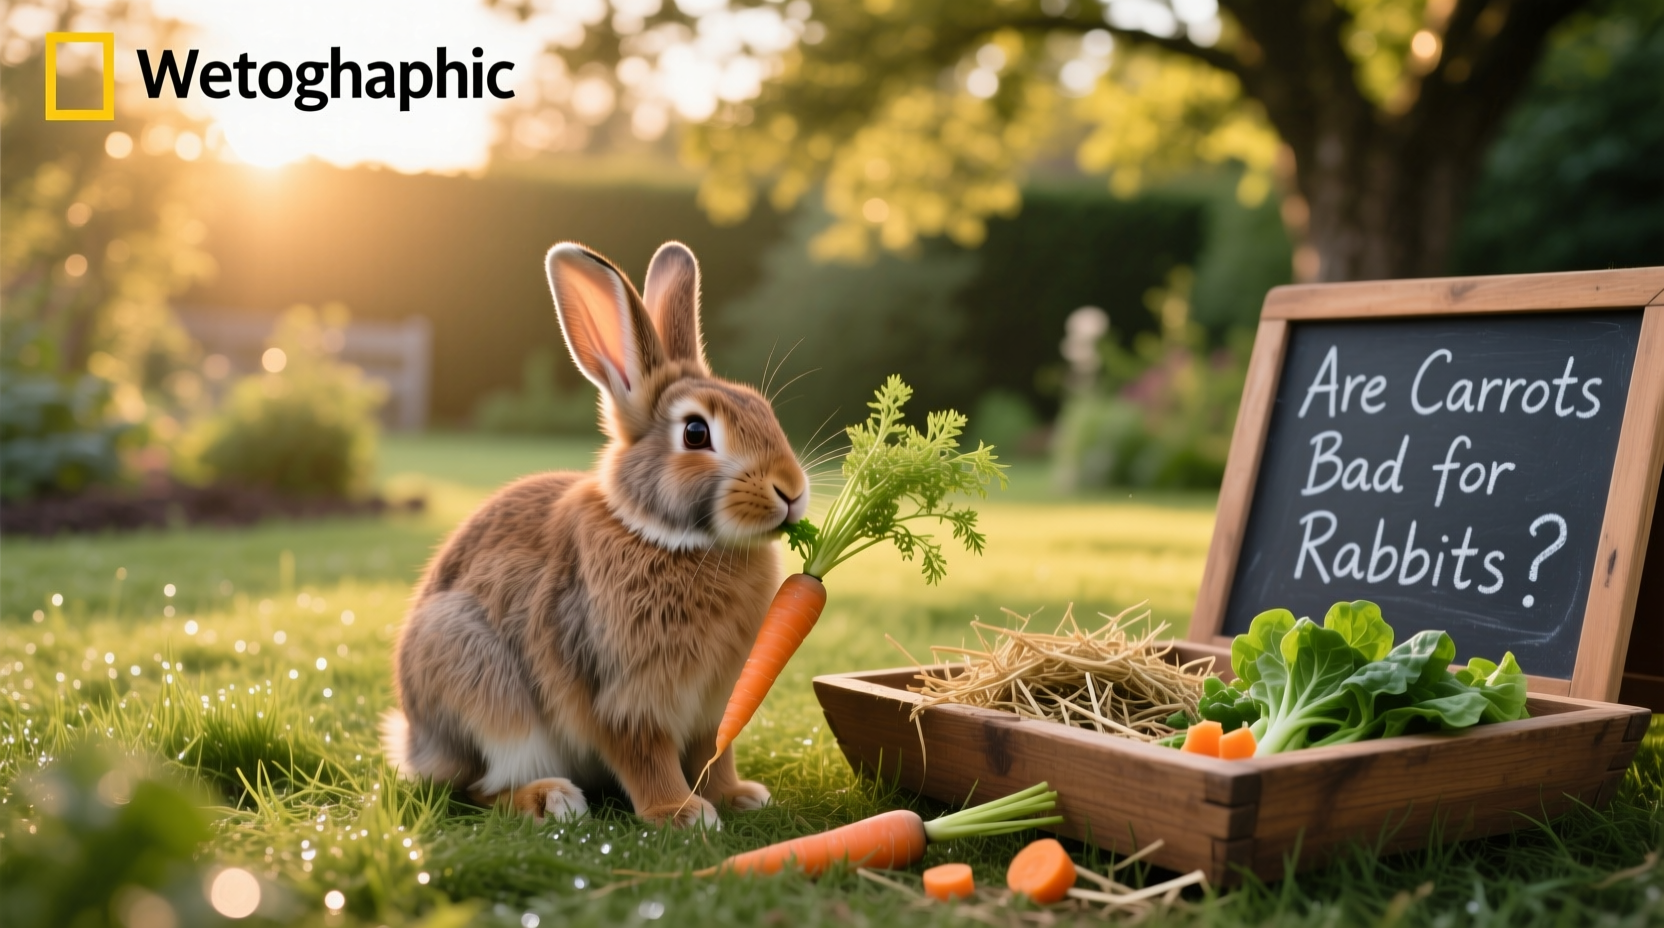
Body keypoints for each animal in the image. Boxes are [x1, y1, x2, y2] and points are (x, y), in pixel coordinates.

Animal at [381, 241, 810, 828]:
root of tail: (416, 743)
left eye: (763, 410)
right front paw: (681, 814)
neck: (664, 536)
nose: (791, 490)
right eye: (695, 432)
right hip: (478, 683)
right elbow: (645, 756)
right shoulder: (621, 696)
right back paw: (550, 799)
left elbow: (713, 754)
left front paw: (738, 796)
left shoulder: (712, 707)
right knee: (476, 788)